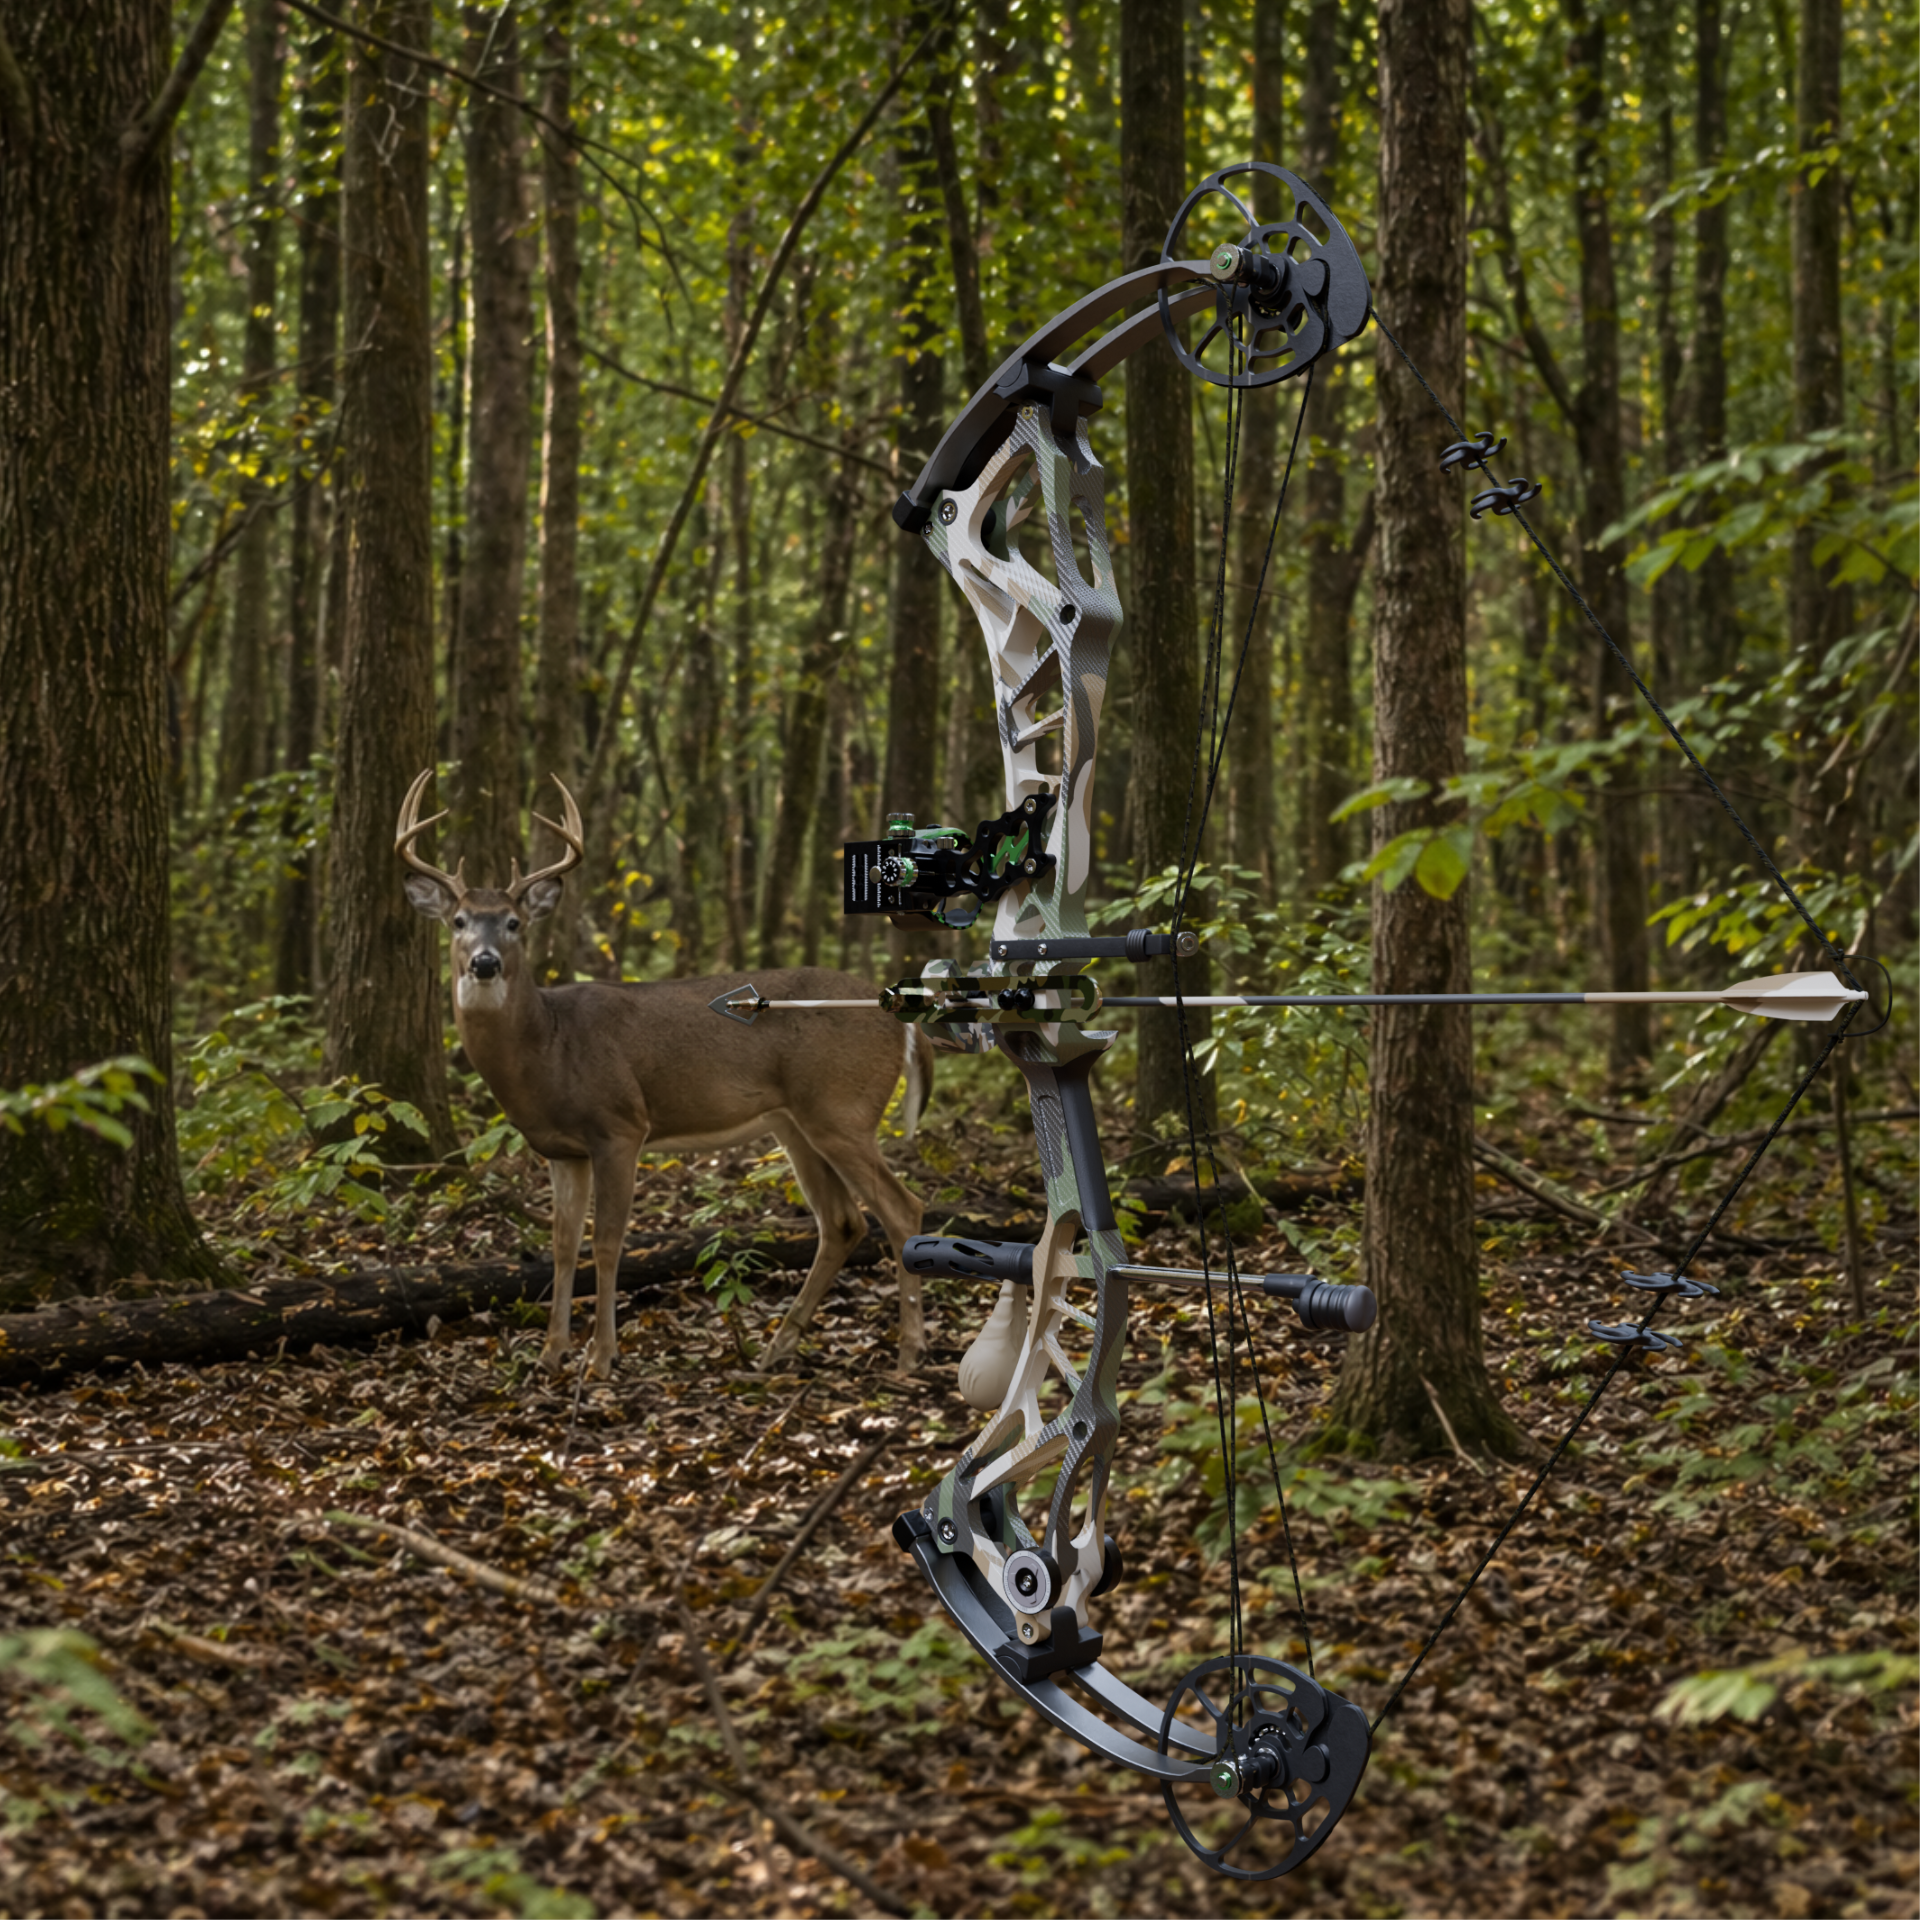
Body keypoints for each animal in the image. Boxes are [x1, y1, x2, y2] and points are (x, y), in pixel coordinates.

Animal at [396, 770, 933, 1381]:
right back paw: (776, 1349)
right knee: (842, 1222)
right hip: (796, 1122)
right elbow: (561, 1243)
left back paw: (909, 1353)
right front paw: (551, 1353)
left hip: (841, 1108)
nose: (484, 962)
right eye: (458, 921)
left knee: (903, 1209)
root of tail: (903, 1018)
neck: (548, 1046)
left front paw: (600, 1357)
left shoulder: (620, 1126)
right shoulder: (562, 1150)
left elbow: (608, 1242)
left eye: (514, 922)